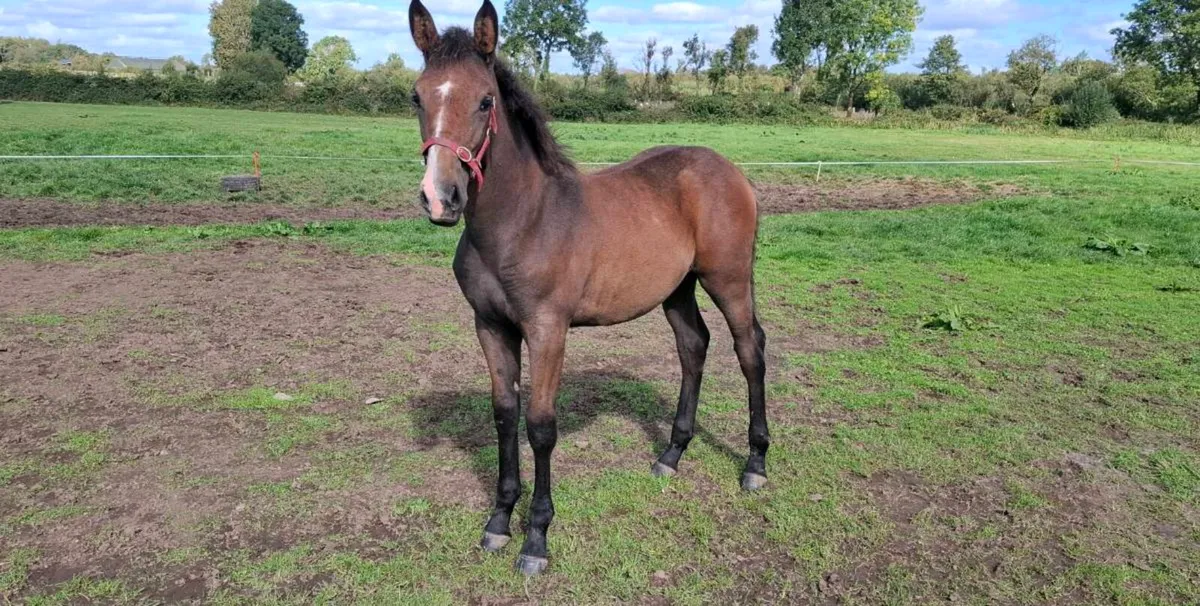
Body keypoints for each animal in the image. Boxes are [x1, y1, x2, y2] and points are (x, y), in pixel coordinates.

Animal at [407, 0, 769, 576]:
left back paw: (755, 464)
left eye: (486, 100)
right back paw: (671, 456)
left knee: (749, 349)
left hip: (729, 278)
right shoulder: (490, 326)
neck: (521, 221)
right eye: (416, 96)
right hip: (677, 289)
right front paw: (498, 521)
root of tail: (729, 170)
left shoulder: (548, 329)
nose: (441, 197)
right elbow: (504, 415)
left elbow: (540, 425)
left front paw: (536, 539)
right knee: (694, 346)